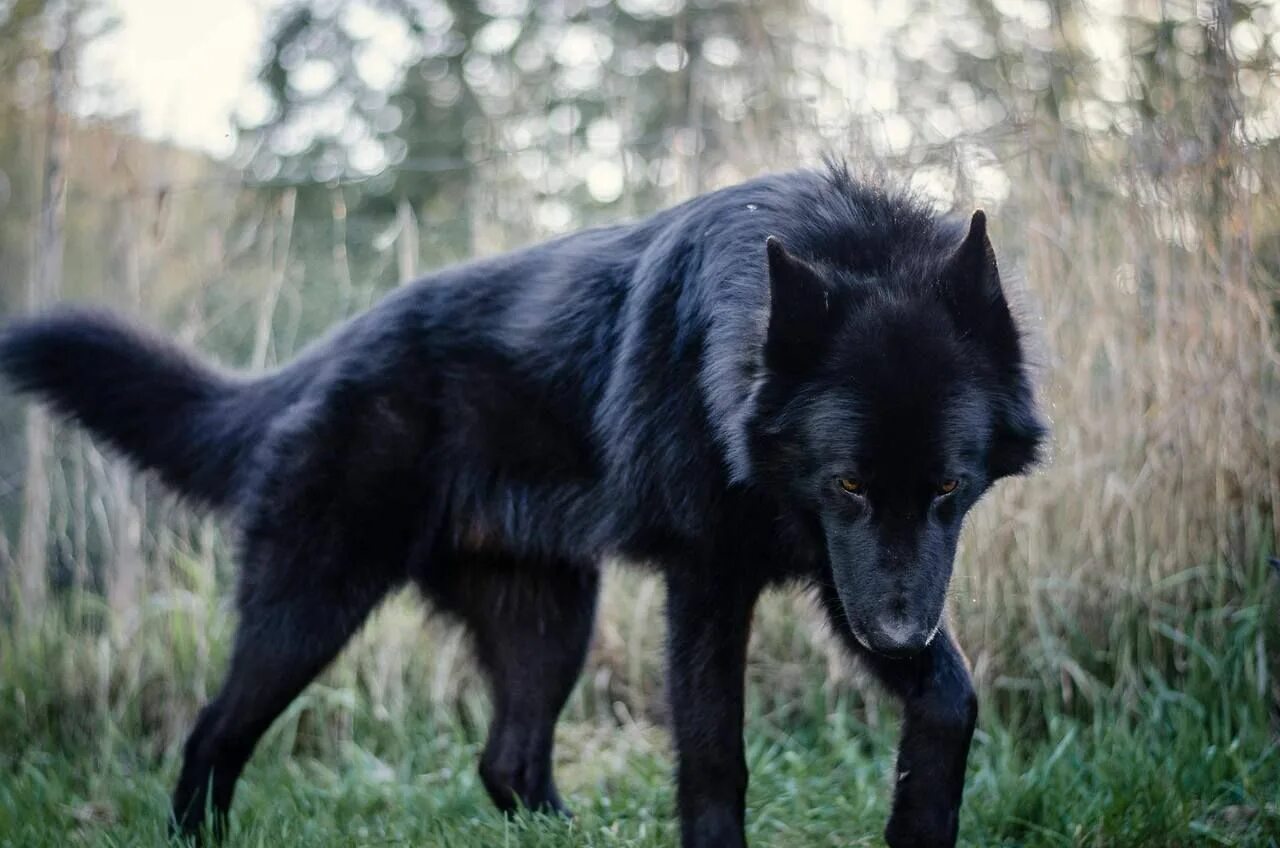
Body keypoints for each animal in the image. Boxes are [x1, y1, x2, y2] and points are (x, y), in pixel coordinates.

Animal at [0, 162, 1039, 845]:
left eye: (948, 487)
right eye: (849, 483)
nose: (899, 638)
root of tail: (316, 360)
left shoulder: (845, 579)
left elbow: (952, 699)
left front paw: (918, 826)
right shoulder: (713, 582)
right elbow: (715, 757)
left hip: (551, 624)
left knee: (507, 763)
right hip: (310, 613)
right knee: (213, 733)